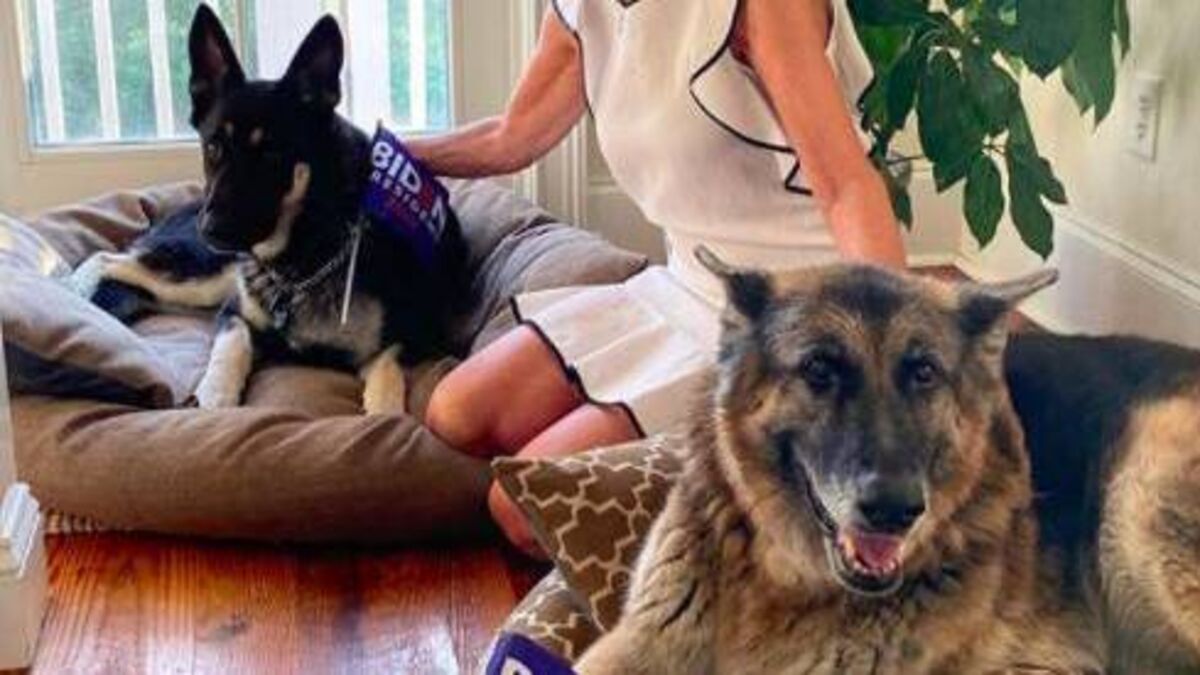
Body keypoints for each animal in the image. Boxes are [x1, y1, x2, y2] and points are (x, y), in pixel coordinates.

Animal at [77, 6, 468, 413]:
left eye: (272, 154)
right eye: (213, 147)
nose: (212, 229)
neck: (304, 256)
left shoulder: (400, 342)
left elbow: (387, 385)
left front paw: (385, 412)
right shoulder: (234, 313)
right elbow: (232, 346)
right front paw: (216, 397)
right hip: (204, 274)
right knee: (108, 258)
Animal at [576, 248, 1200, 674]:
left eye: (923, 372)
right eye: (819, 369)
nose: (896, 510)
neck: (786, 581)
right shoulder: (632, 646)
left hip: (1140, 502)